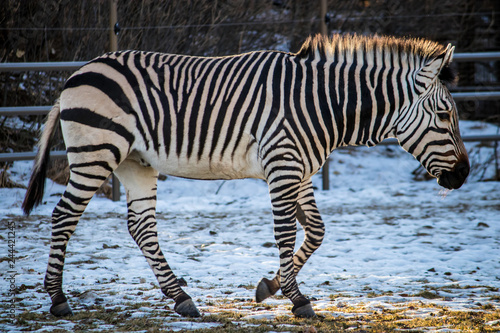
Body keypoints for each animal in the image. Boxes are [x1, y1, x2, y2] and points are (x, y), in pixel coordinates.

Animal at [22, 33, 468, 316]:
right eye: (444, 115)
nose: (464, 175)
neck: (322, 102)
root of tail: (75, 75)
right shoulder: (283, 166)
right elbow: (286, 233)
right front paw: (297, 300)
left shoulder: (300, 170)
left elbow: (317, 231)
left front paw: (271, 287)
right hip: (97, 153)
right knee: (64, 216)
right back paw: (58, 299)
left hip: (136, 162)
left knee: (141, 226)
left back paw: (181, 298)